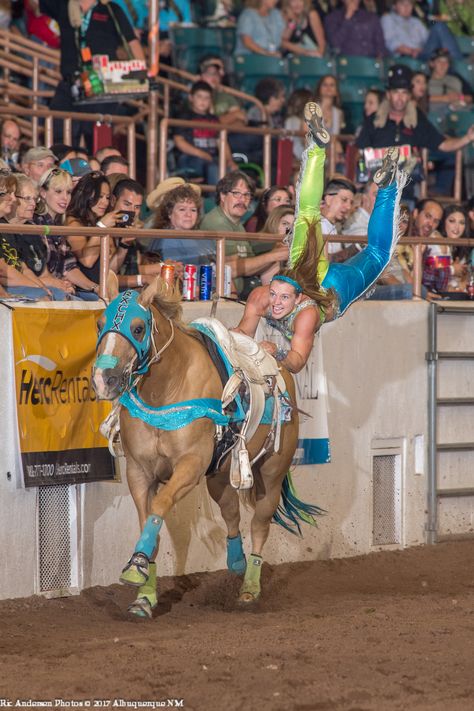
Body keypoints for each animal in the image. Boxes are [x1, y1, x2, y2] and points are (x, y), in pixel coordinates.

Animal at [91, 276, 314, 620]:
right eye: (100, 324)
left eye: (139, 328)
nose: (105, 379)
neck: (167, 388)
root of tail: (280, 370)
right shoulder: (139, 471)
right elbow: (149, 522)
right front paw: (143, 594)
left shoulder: (191, 465)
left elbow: (160, 506)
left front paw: (135, 567)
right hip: (219, 476)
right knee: (232, 513)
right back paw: (236, 561)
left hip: (271, 473)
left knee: (259, 524)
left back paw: (250, 587)